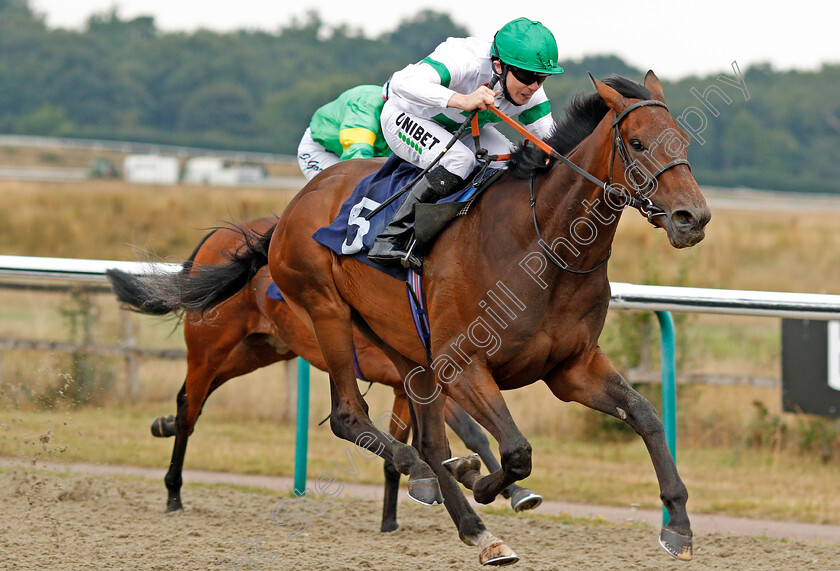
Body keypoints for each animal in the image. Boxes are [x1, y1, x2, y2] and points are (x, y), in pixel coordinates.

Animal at [106, 217, 540, 528]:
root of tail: (218, 238)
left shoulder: (412, 383)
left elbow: (454, 437)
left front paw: (508, 490)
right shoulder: (413, 379)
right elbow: (462, 433)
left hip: (257, 349)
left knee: (195, 397)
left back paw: (162, 425)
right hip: (209, 346)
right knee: (190, 406)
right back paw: (173, 492)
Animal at [159, 76, 708, 568]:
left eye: (682, 141)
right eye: (636, 143)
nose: (693, 218)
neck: (541, 246)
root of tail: (290, 210)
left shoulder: (570, 367)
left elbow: (645, 414)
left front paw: (678, 526)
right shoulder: (461, 362)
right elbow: (514, 449)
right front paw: (485, 484)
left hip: (382, 349)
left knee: (423, 438)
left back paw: (476, 528)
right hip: (314, 314)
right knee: (341, 416)